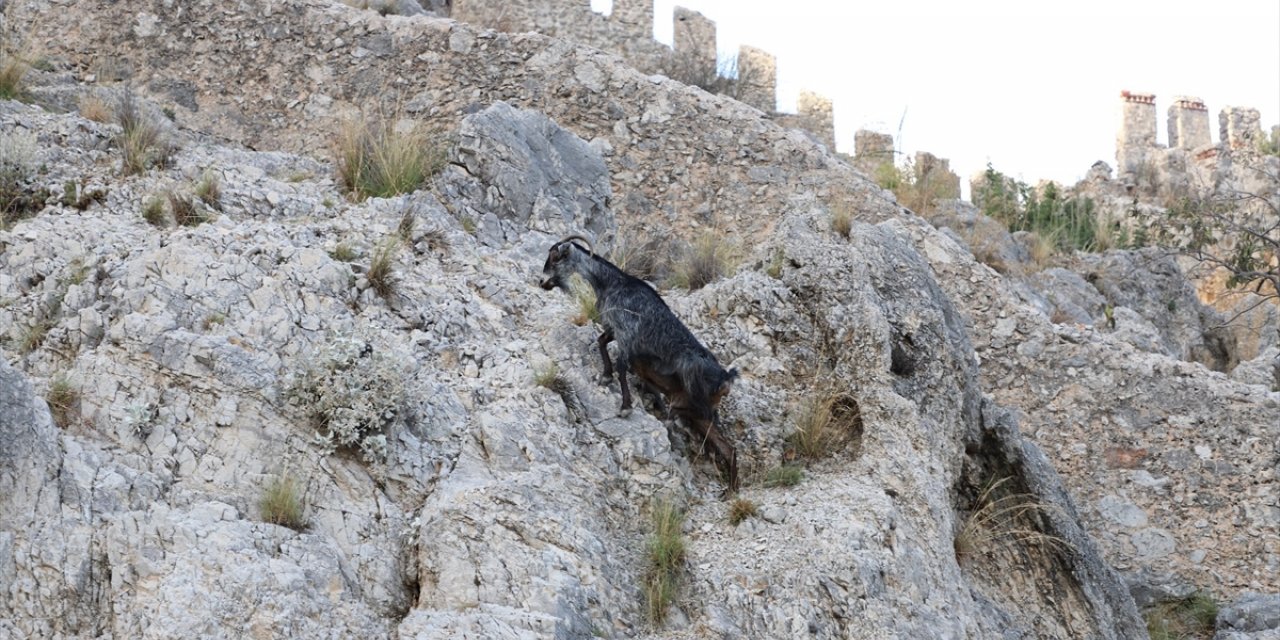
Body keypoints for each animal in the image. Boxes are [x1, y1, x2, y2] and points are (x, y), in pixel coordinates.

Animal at [540, 235, 742, 488]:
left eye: (556, 258)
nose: (542, 282)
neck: (611, 283)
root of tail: (726, 379)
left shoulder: (627, 335)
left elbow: (621, 366)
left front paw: (625, 407)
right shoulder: (614, 329)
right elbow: (601, 342)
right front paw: (605, 376)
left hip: (696, 393)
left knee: (689, 413)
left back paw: (669, 413)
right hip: (702, 417)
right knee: (727, 448)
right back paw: (732, 489)